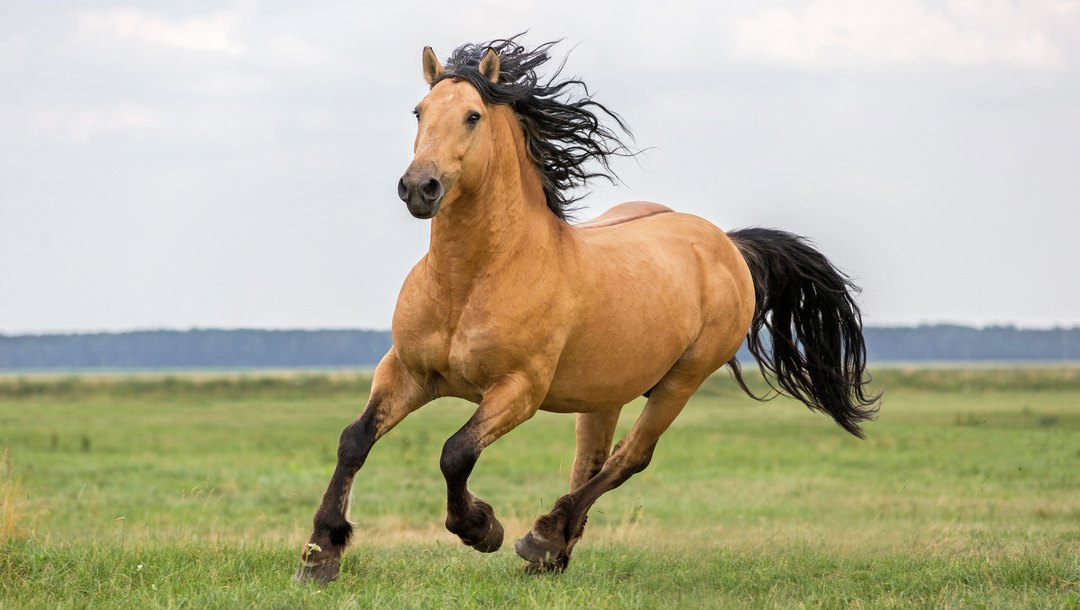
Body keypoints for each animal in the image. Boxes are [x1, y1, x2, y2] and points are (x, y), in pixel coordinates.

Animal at [295, 37, 880, 584]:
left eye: (472, 116)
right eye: (419, 112)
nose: (420, 187)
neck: (472, 280)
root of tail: (727, 244)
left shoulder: (518, 390)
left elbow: (454, 452)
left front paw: (482, 529)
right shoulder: (407, 372)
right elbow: (354, 441)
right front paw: (321, 554)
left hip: (682, 380)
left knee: (628, 459)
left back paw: (540, 538)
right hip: (605, 393)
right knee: (590, 462)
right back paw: (553, 553)